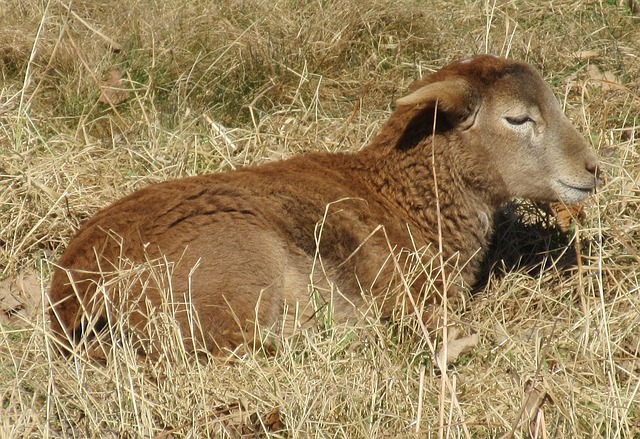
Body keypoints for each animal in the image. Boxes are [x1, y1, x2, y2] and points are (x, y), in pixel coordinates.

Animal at [48, 55, 600, 358]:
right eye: (518, 118)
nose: (594, 169)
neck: (408, 198)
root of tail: (76, 294)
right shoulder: (415, 298)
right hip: (234, 279)